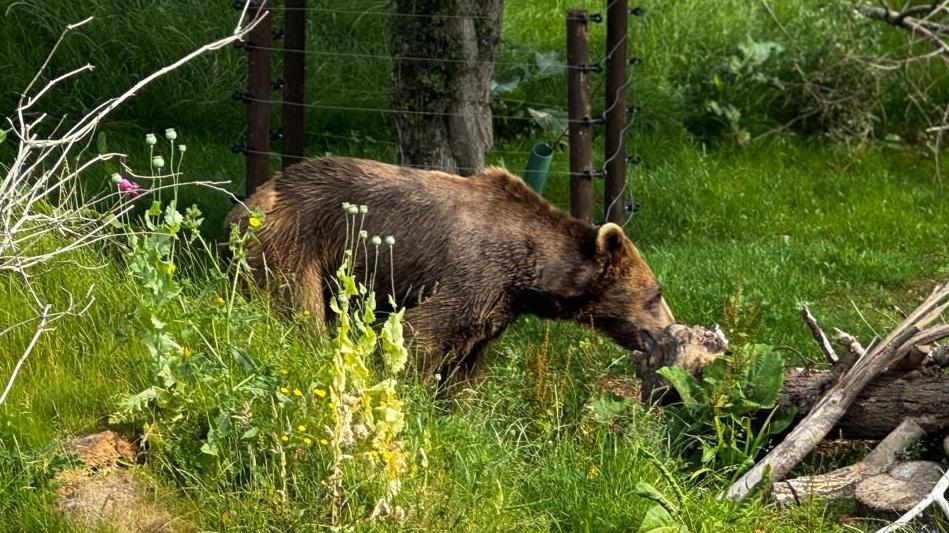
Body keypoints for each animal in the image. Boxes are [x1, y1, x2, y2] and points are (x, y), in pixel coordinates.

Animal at [226, 156, 675, 384]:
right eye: (655, 294)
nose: (669, 328)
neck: (529, 273)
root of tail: (248, 202)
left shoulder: (497, 306)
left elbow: (468, 361)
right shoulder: (472, 274)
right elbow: (420, 336)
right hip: (296, 243)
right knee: (298, 309)